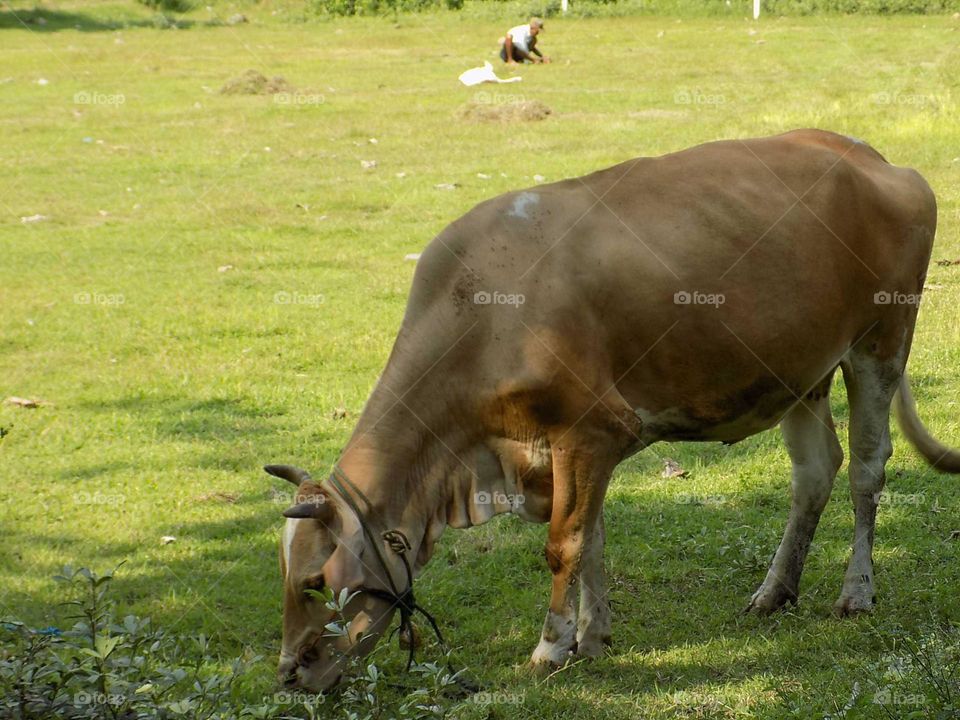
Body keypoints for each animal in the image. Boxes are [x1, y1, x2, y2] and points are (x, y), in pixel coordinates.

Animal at [268, 129, 960, 692]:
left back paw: (856, 591)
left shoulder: (589, 430)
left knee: (867, 471)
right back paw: (774, 591)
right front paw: (593, 636)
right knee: (815, 472)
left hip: (880, 343)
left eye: (314, 582)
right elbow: (593, 538)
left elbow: (565, 544)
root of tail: (869, 155)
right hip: (799, 370)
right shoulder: (567, 449)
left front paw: (550, 647)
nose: (289, 675)